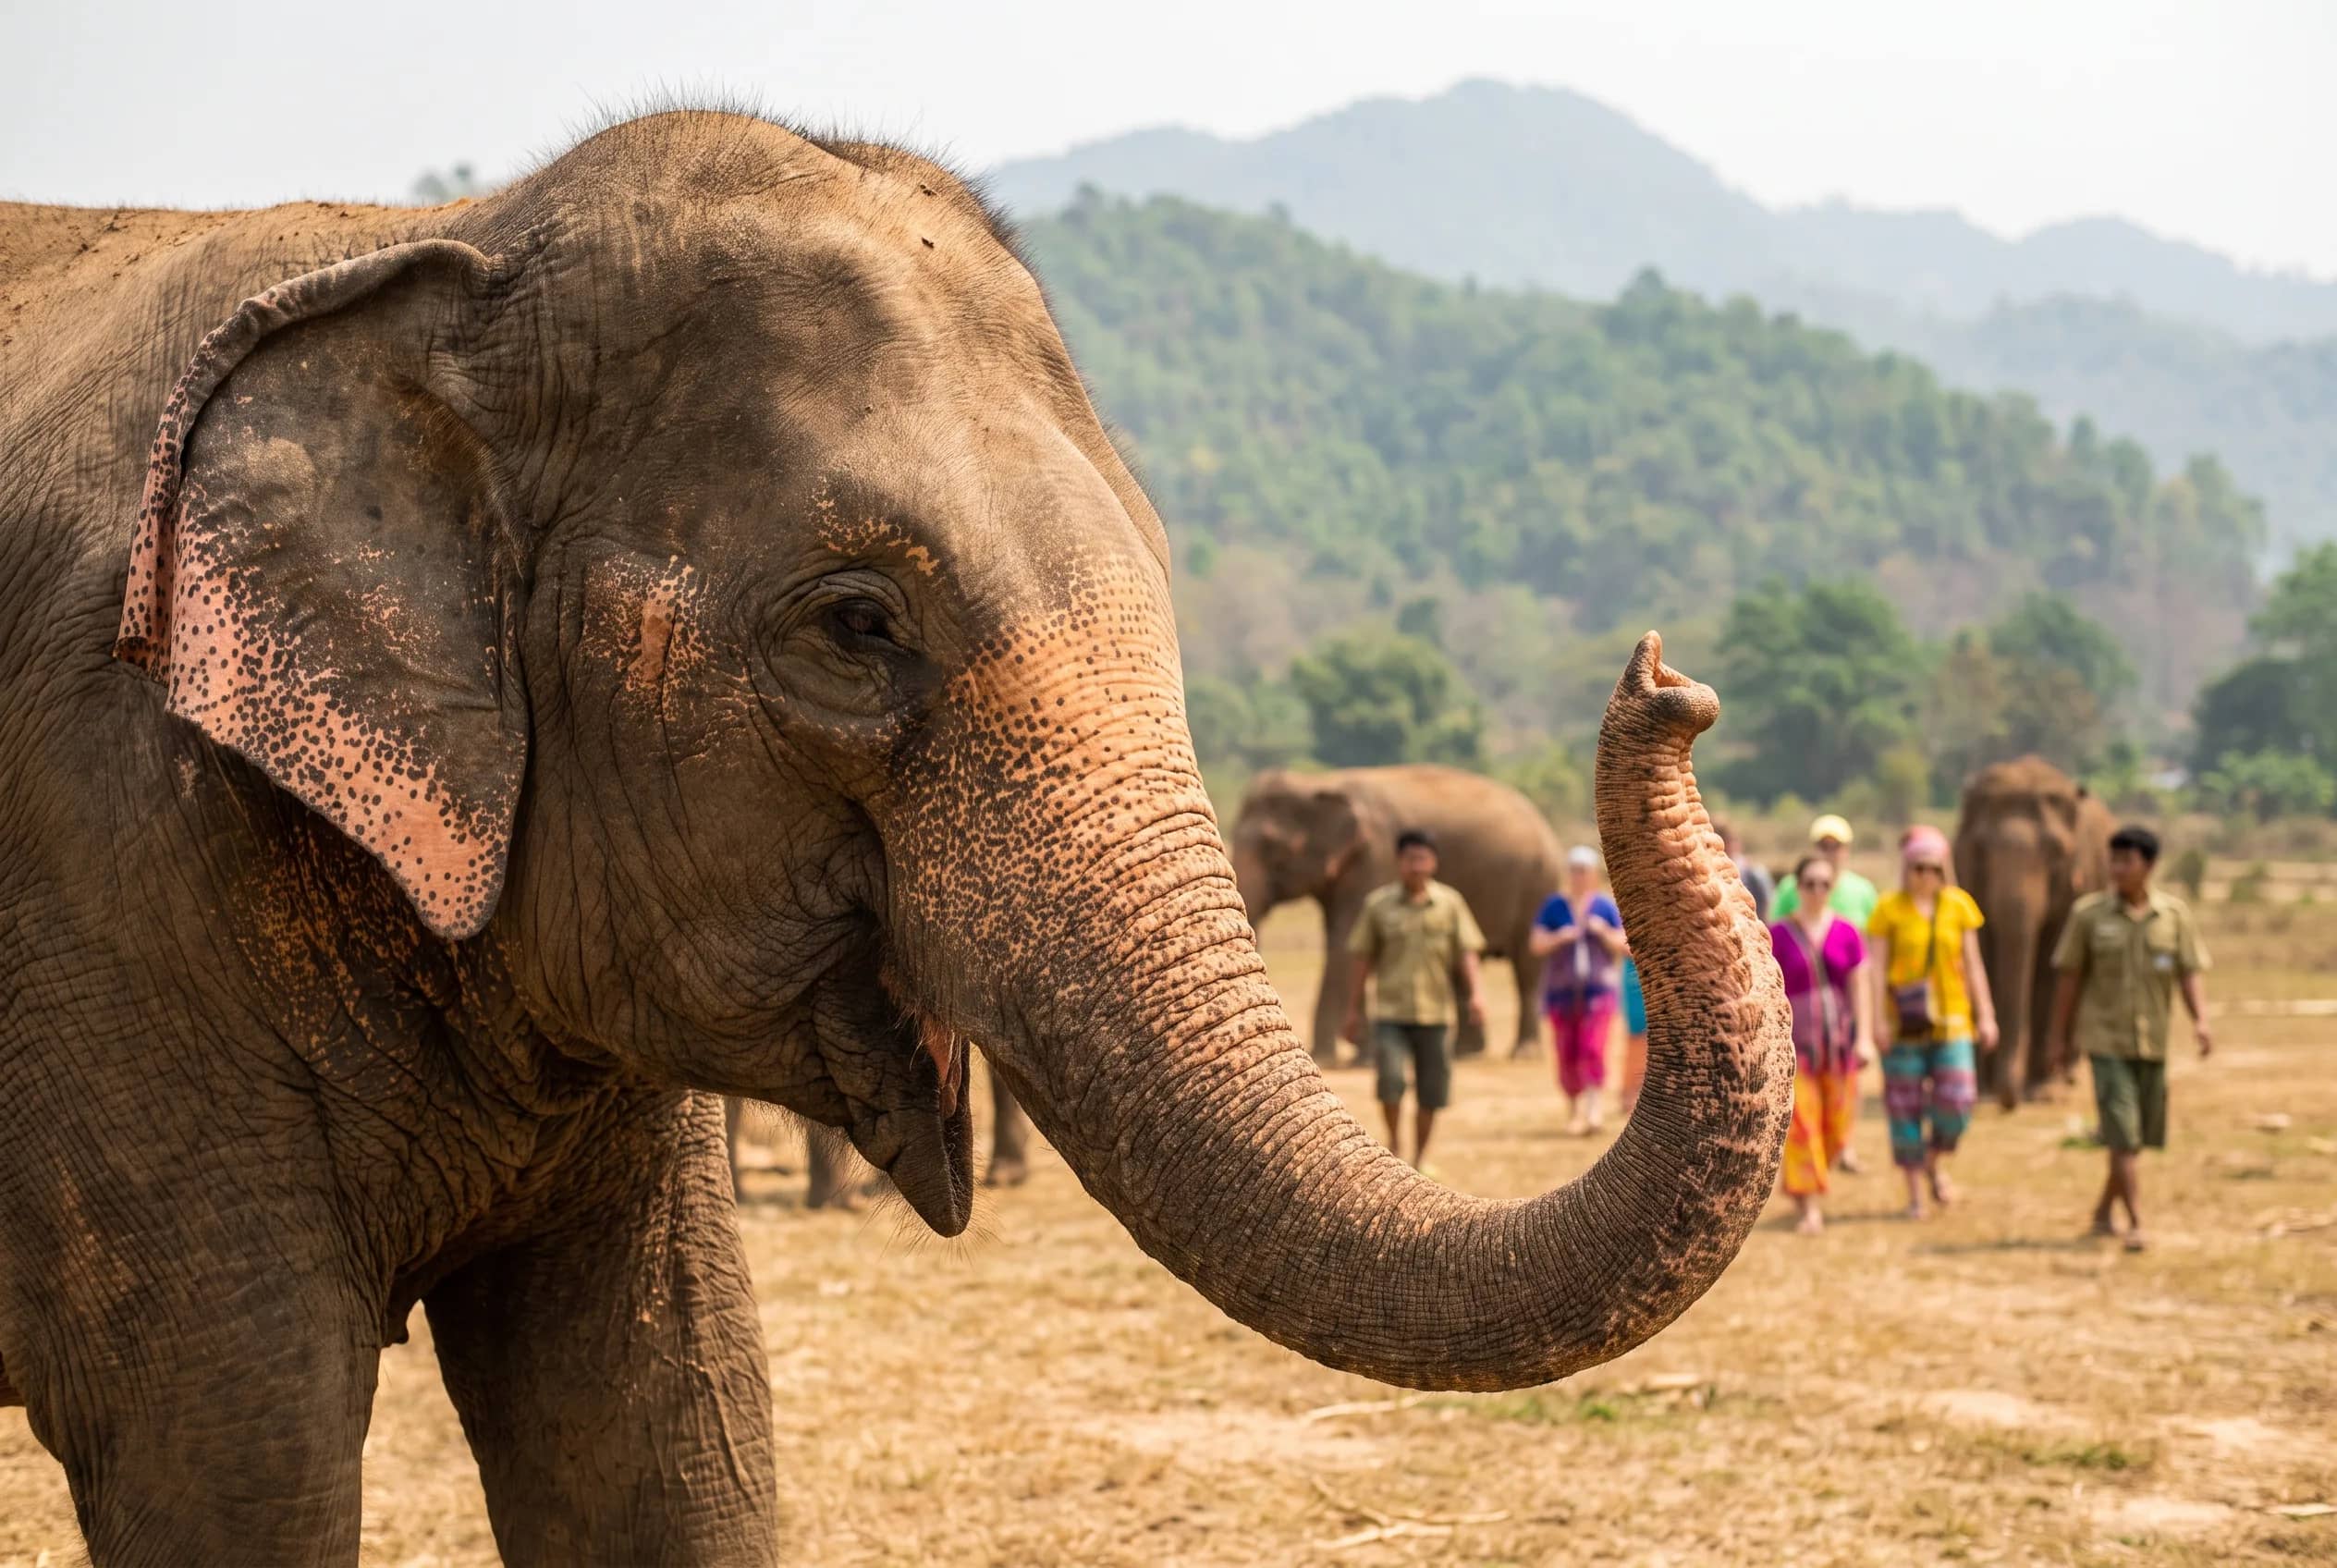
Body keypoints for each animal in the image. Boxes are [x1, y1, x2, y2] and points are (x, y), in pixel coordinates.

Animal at [1229, 765, 1568, 1062]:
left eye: (1272, 846)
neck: (1320, 782)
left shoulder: (1375, 857)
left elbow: (1344, 945)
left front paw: (1328, 1055)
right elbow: (1354, 947)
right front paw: (1363, 1054)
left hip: (1540, 886)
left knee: (1527, 968)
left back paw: (1523, 1053)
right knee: (1461, 965)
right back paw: (1464, 1054)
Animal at [1954, 756, 2115, 1108]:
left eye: (2055, 851)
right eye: (1981, 849)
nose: (2007, 1100)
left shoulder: (2075, 886)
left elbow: (2054, 968)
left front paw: (2043, 1094)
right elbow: (1984, 955)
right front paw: (1982, 1093)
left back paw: (2065, 1077)